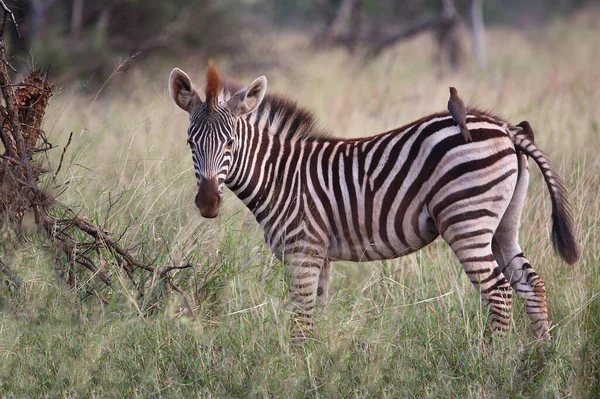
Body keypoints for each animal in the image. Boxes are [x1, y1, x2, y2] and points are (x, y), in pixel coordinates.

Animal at [168, 63, 576, 344]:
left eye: (230, 144)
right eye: (190, 143)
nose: (208, 204)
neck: (281, 176)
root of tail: (506, 129)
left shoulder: (303, 252)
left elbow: (300, 320)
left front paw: (297, 371)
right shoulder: (320, 256)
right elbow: (315, 315)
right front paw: (317, 365)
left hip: (467, 221)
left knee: (499, 291)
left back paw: (491, 360)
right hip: (503, 224)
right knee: (531, 284)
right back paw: (537, 361)